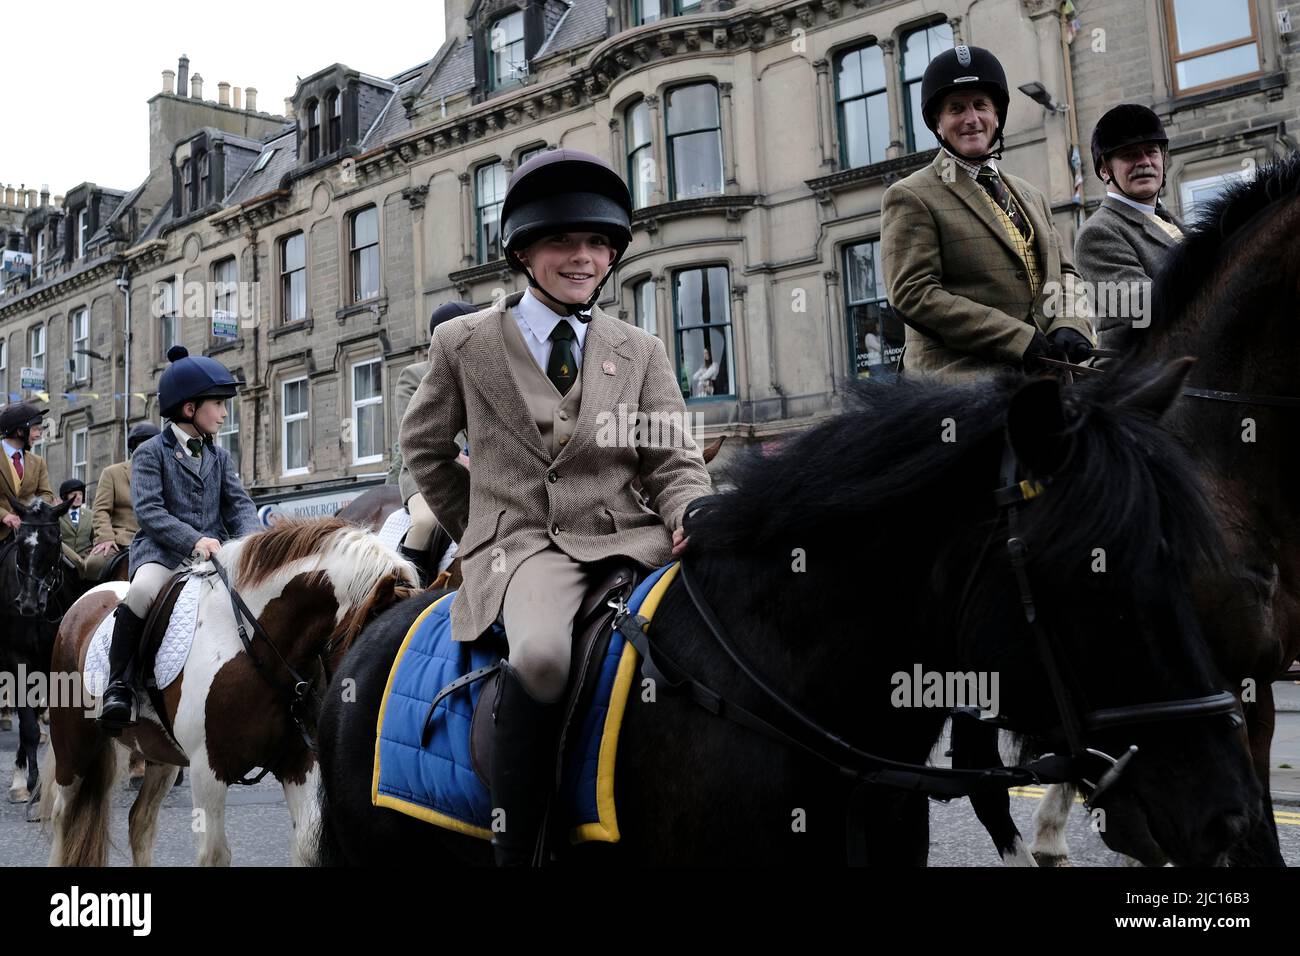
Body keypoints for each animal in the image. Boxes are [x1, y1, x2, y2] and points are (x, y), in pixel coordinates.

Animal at [39, 520, 416, 868]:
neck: (255, 648)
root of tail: (83, 602)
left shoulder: (299, 763)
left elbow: (308, 846)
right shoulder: (208, 770)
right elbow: (215, 855)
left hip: (159, 755)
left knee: (140, 821)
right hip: (74, 746)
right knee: (62, 815)